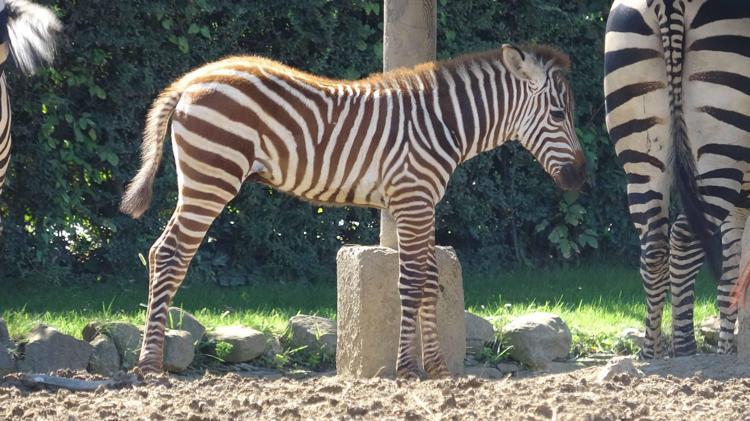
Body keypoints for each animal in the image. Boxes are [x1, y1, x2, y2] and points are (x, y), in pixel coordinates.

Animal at [121, 43, 585, 378]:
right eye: (558, 114)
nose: (580, 179)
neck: (443, 125)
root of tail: (193, 78)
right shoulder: (413, 200)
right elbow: (412, 283)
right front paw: (406, 369)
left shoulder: (417, 204)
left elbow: (429, 280)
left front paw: (435, 368)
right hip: (211, 178)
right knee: (169, 254)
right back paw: (149, 366)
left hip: (204, 180)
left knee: (161, 252)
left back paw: (151, 360)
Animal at [604, 0, 750, 358]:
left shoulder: (741, 204)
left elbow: (729, 281)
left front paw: (727, 353)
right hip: (721, 143)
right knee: (683, 239)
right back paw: (684, 349)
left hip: (642, 147)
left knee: (654, 246)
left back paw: (653, 355)